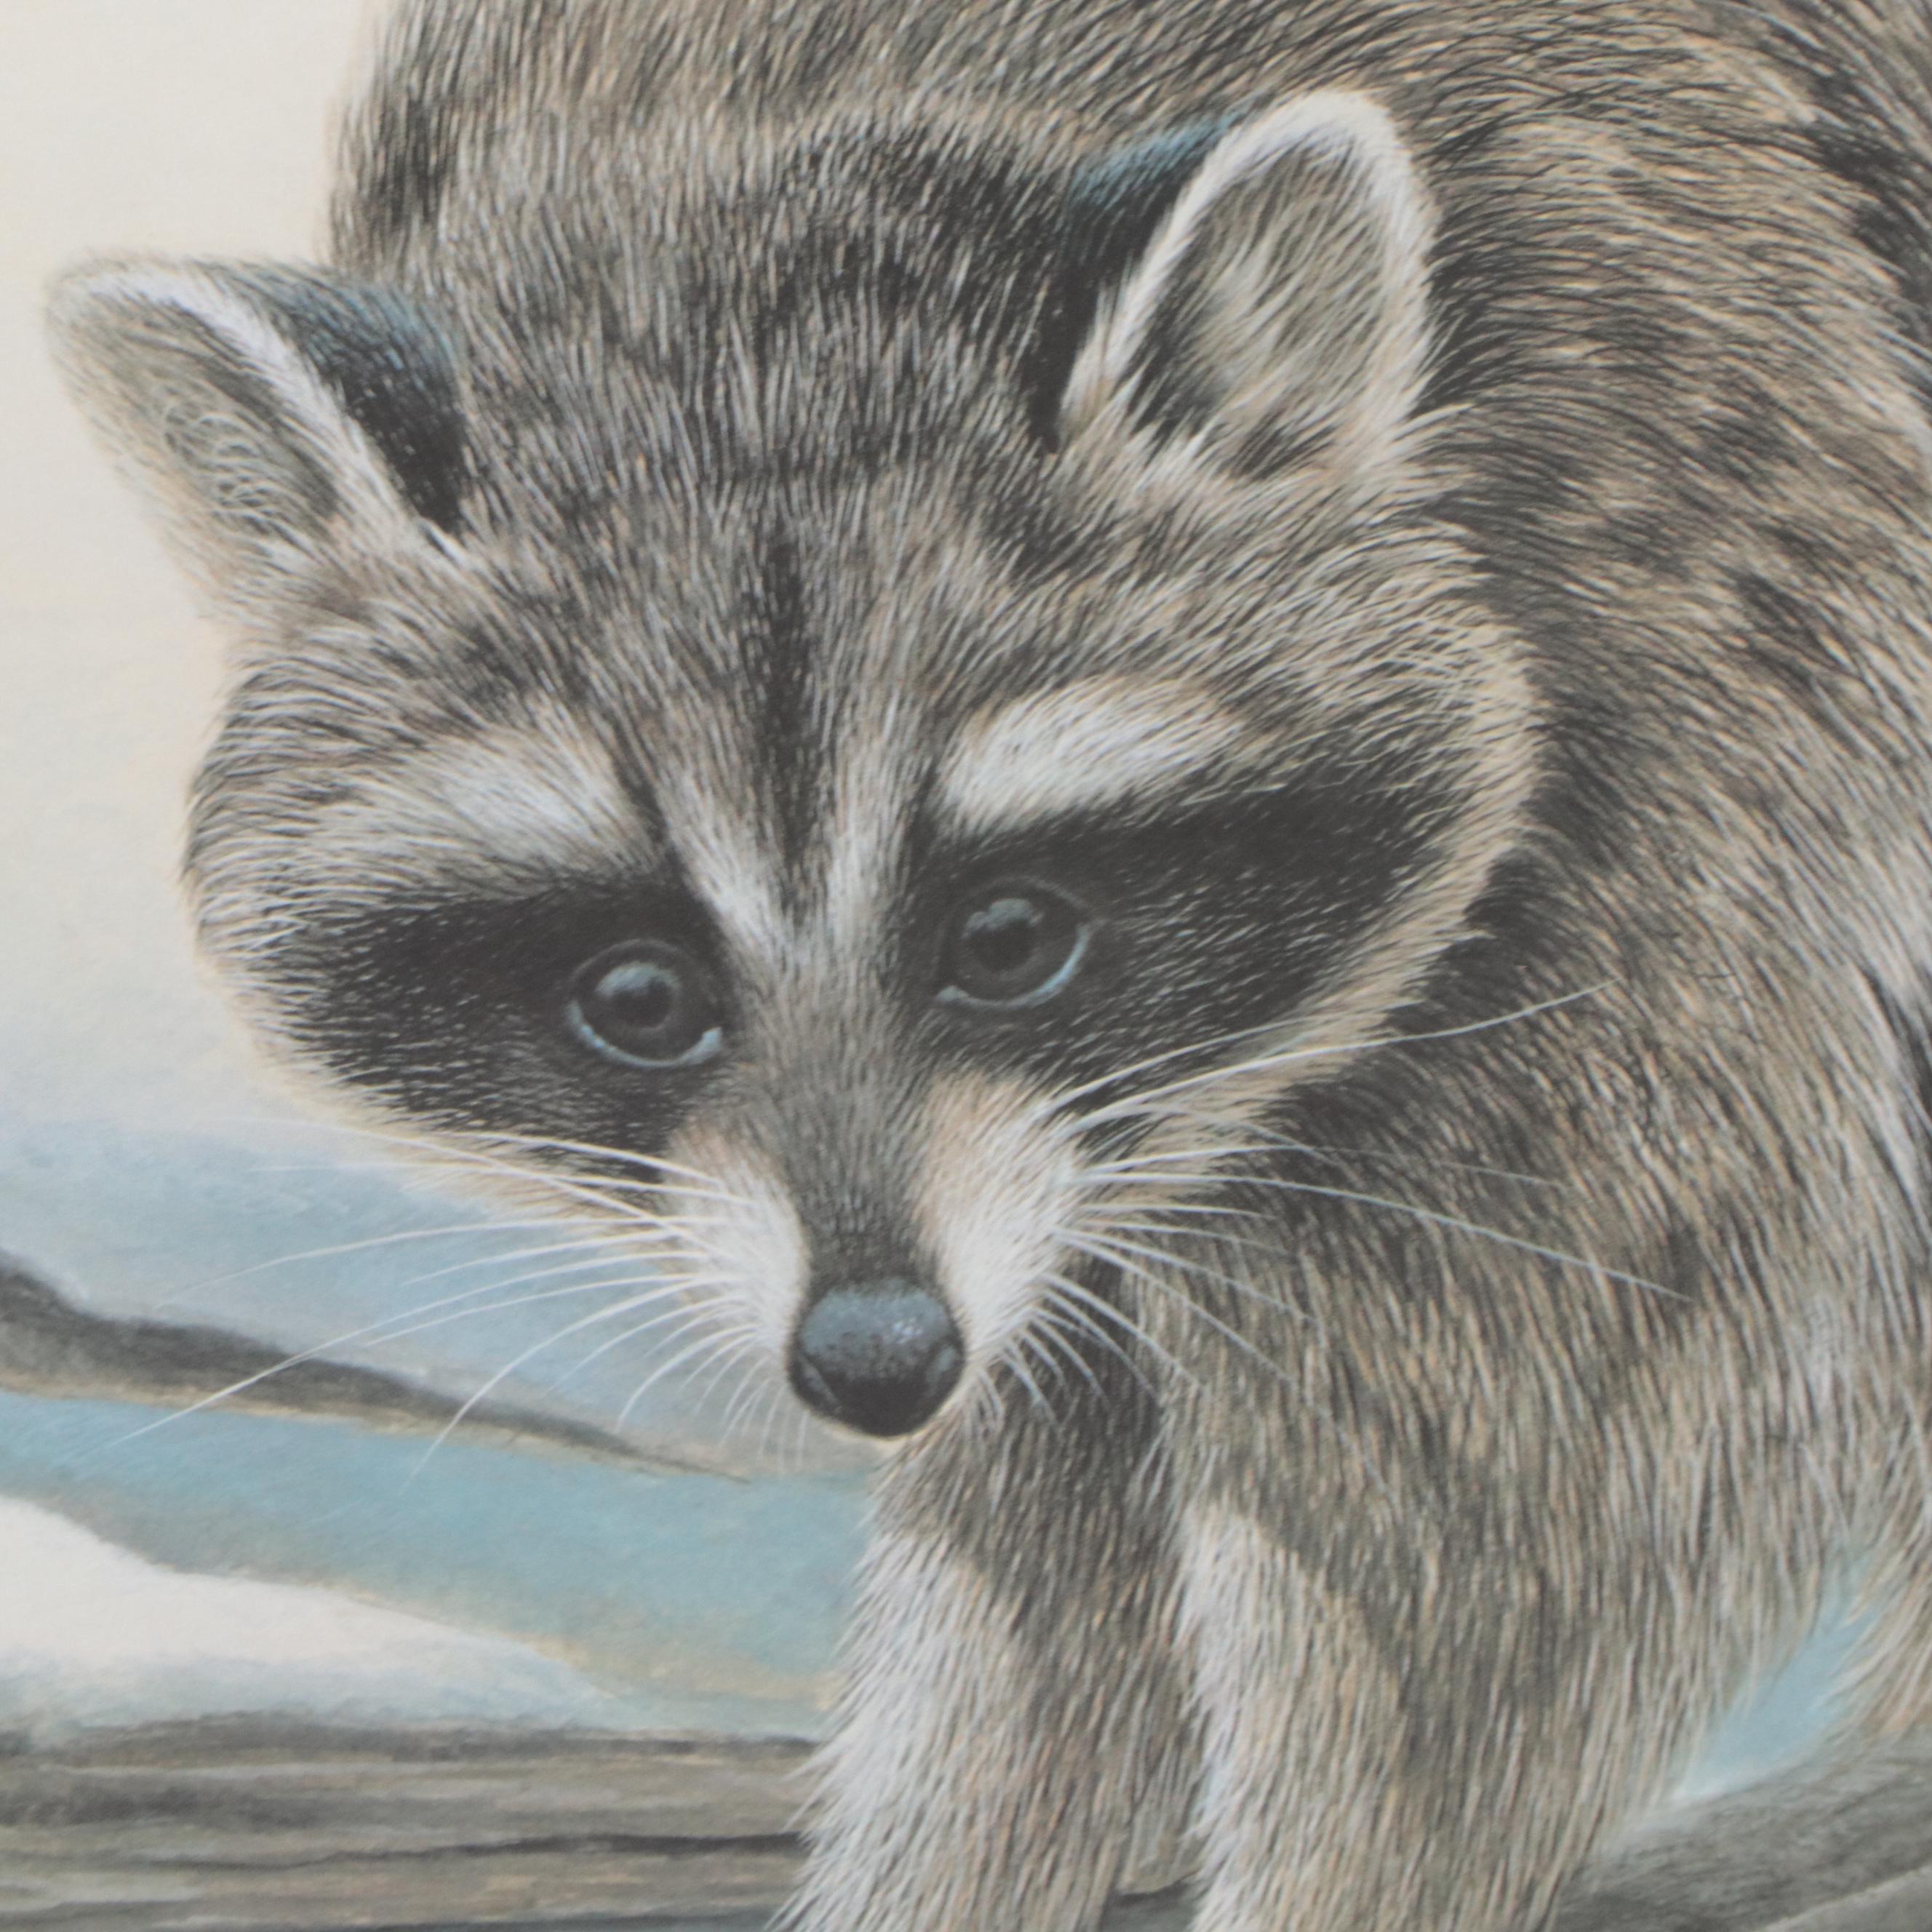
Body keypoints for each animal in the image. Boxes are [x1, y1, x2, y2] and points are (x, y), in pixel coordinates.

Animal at [47, 0, 1932, 1926]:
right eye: (636, 997)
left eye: (1010, 936)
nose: (873, 1357)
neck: (762, 210)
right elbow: (1040, 1507)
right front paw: (954, 1850)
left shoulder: (1688, 632)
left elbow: (1545, 1447)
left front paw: (1338, 1871)